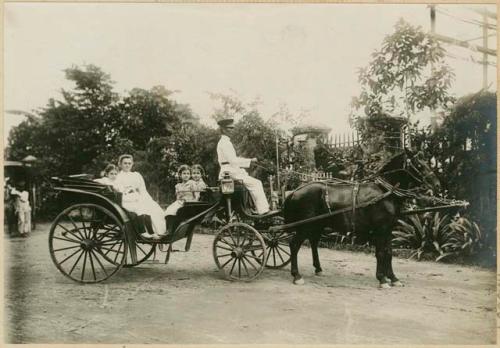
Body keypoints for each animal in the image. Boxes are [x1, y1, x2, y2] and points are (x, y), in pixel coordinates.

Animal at [284, 150, 440, 288]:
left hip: (317, 224)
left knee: (313, 242)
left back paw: (318, 269)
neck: (384, 191)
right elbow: (380, 253)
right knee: (294, 244)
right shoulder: (380, 228)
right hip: (305, 225)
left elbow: (389, 253)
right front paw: (382, 279)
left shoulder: (388, 228)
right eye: (419, 165)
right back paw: (296, 275)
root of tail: (294, 191)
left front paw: (393, 278)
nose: (437, 184)